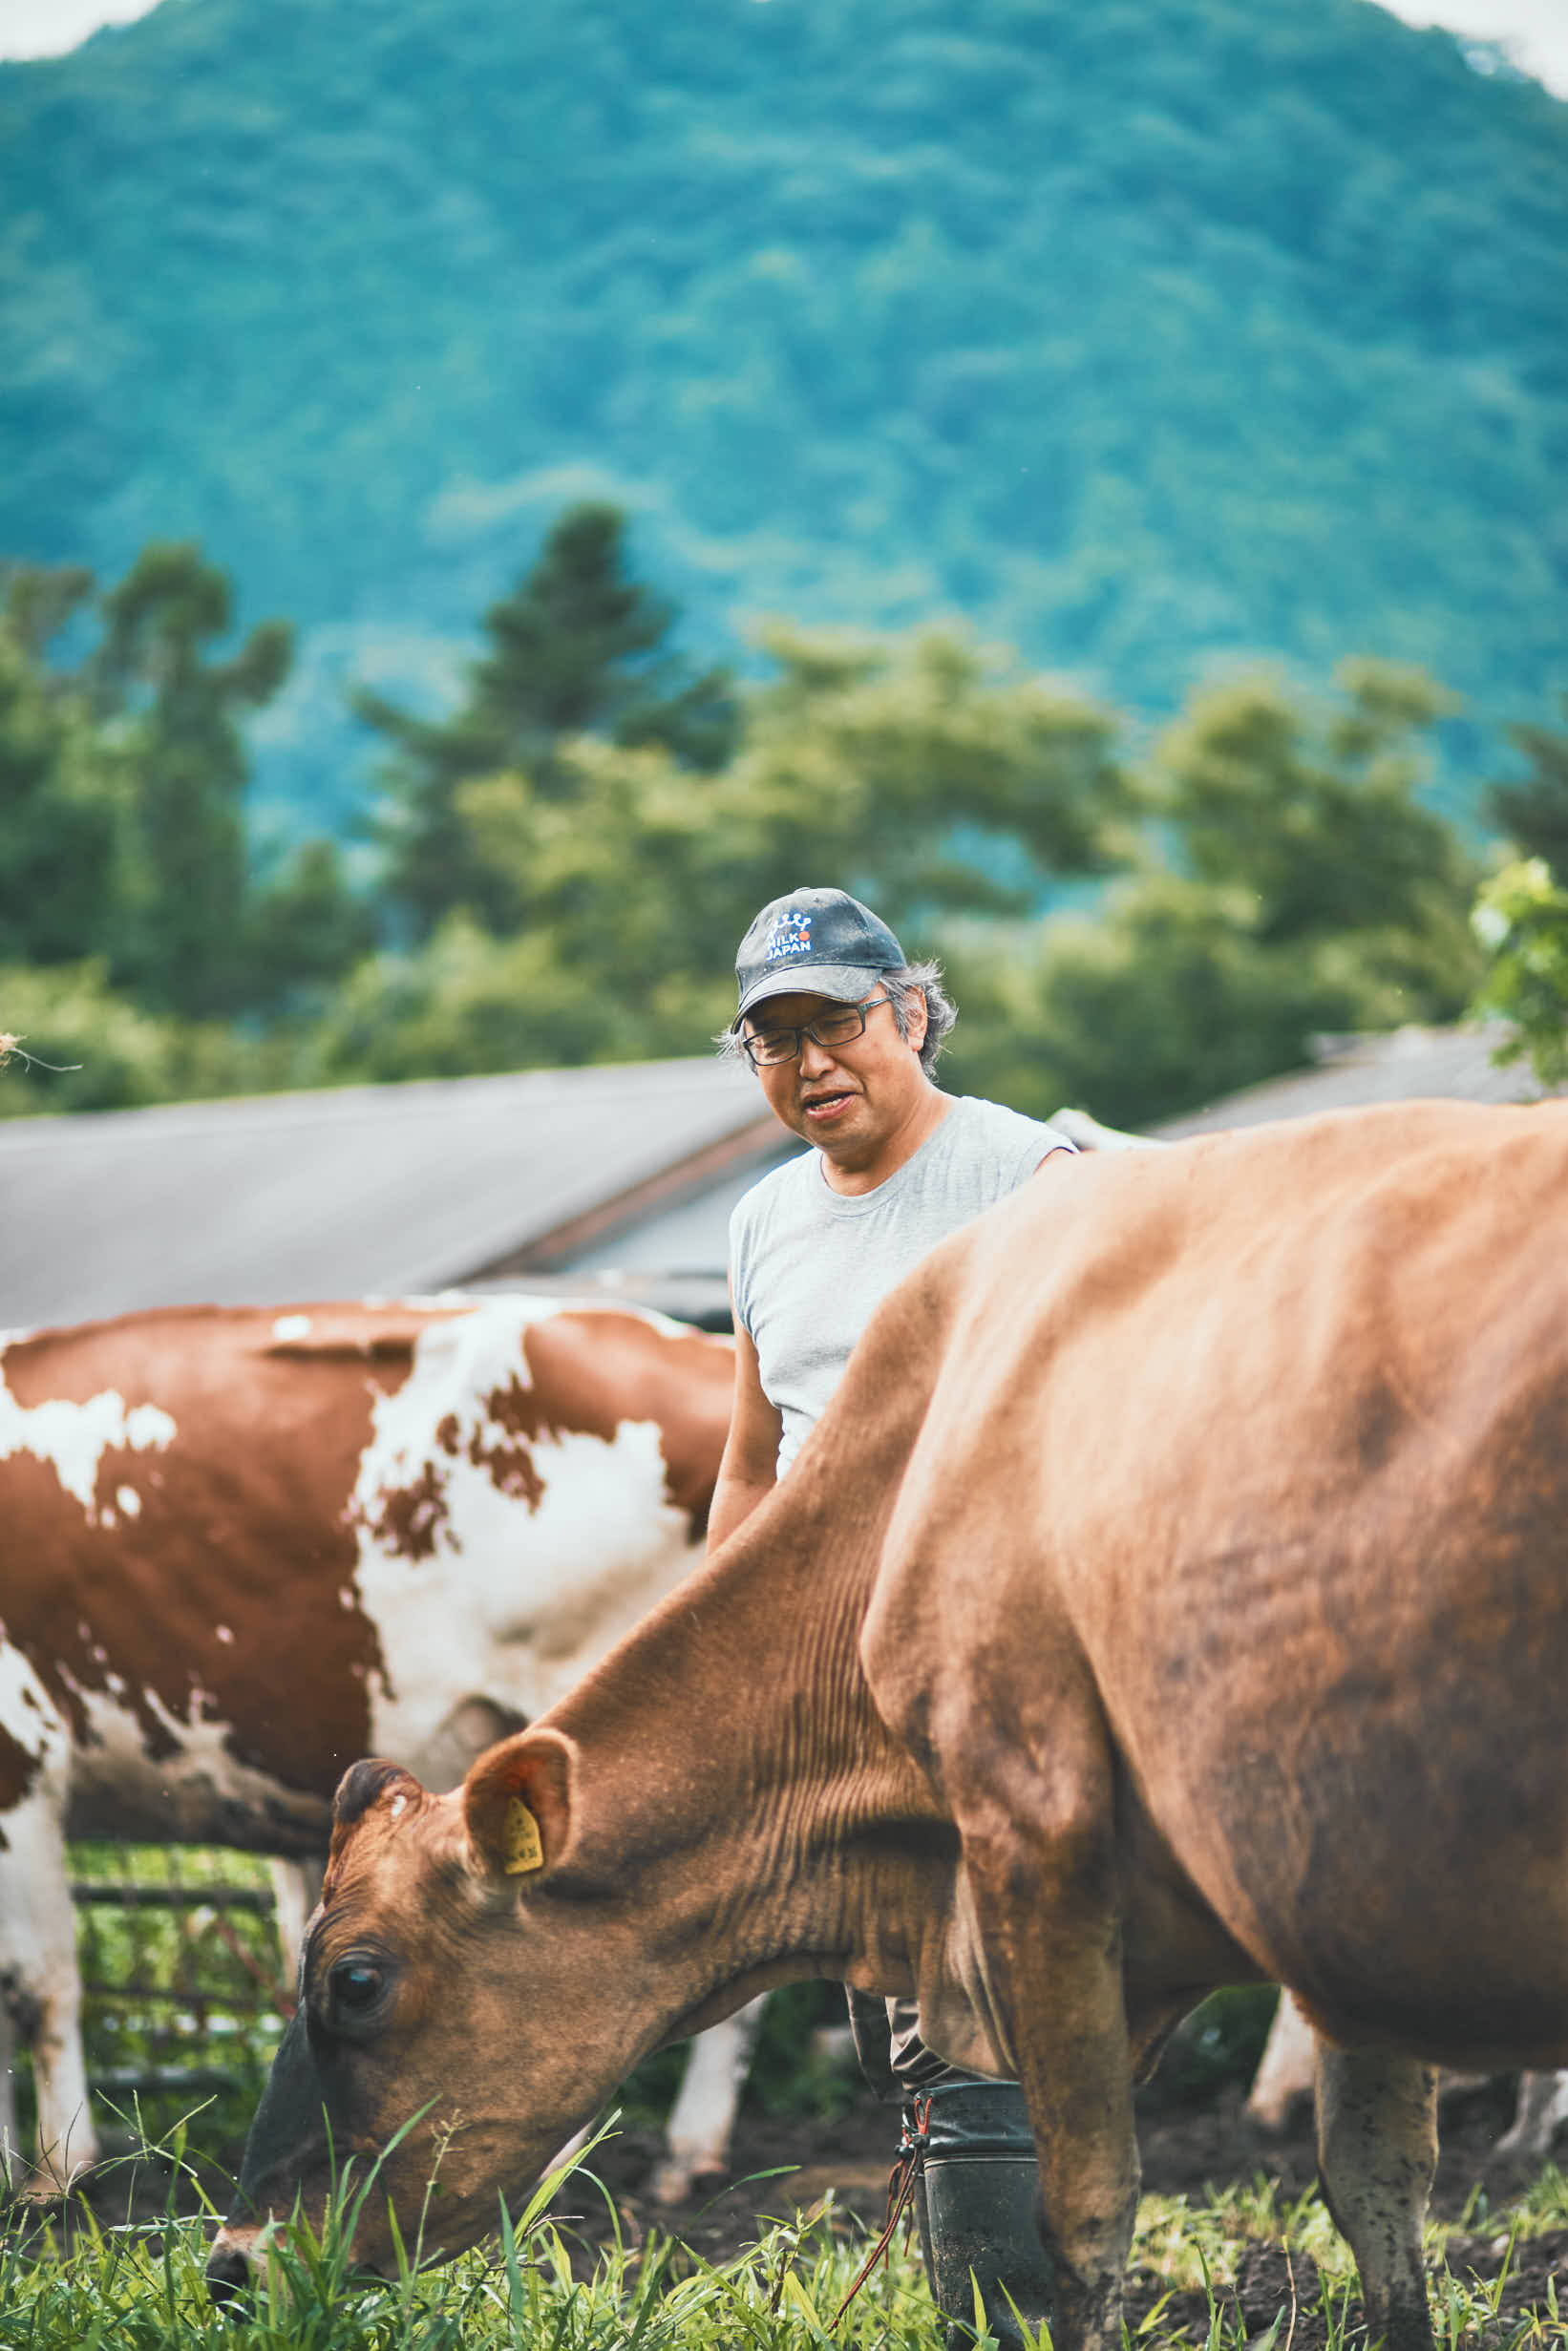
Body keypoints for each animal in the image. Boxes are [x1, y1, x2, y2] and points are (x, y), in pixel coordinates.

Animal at [215, 1105, 1568, 2351]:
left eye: (357, 1978)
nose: (231, 2261)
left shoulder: (1033, 1842)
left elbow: (1081, 2220)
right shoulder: (1334, 1903)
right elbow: (1376, 2194)